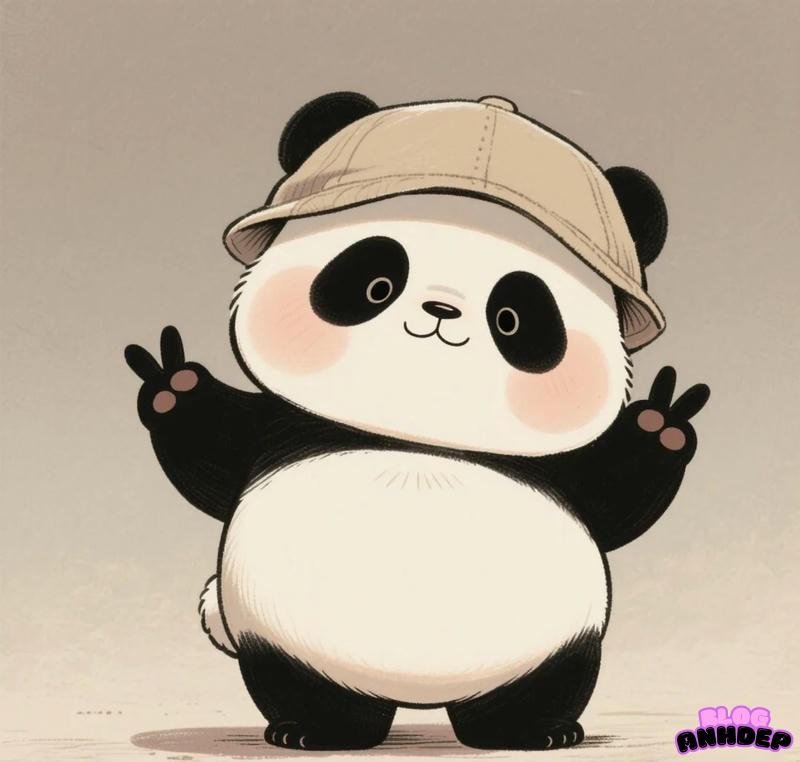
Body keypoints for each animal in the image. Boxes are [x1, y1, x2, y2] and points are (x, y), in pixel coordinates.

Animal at [125, 92, 710, 751]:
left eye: (513, 318)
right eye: (376, 283)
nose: (441, 309)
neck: (418, 434)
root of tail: (419, 699)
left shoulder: (565, 477)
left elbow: (617, 496)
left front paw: (660, 422)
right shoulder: (280, 427)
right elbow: (213, 454)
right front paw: (174, 382)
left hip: (558, 645)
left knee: (547, 684)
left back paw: (533, 730)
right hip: (281, 638)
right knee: (298, 684)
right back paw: (315, 729)